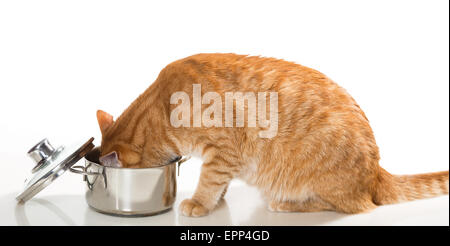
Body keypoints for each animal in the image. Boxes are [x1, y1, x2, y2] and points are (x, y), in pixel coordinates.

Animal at [96, 52, 448, 216]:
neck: (161, 105)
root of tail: (377, 172)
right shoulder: (225, 159)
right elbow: (219, 183)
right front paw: (218, 201)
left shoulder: (223, 151)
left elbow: (209, 180)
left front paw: (200, 203)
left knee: (351, 205)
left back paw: (286, 204)